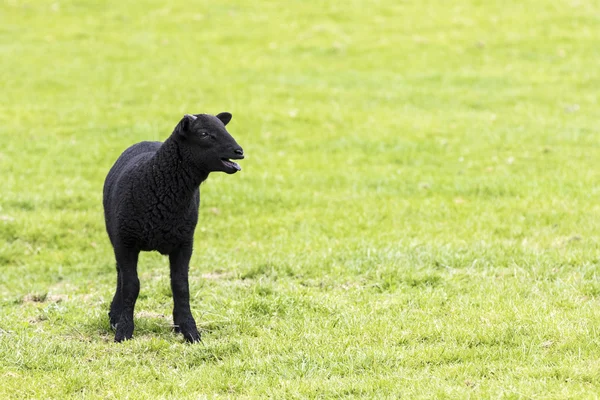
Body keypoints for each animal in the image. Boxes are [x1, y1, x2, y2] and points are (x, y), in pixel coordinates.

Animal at [103, 113, 244, 344]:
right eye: (204, 133)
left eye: (225, 128)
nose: (239, 151)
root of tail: (147, 141)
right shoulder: (126, 242)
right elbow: (131, 285)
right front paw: (123, 331)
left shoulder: (184, 242)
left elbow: (180, 286)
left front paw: (189, 330)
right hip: (116, 235)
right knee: (120, 275)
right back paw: (115, 315)